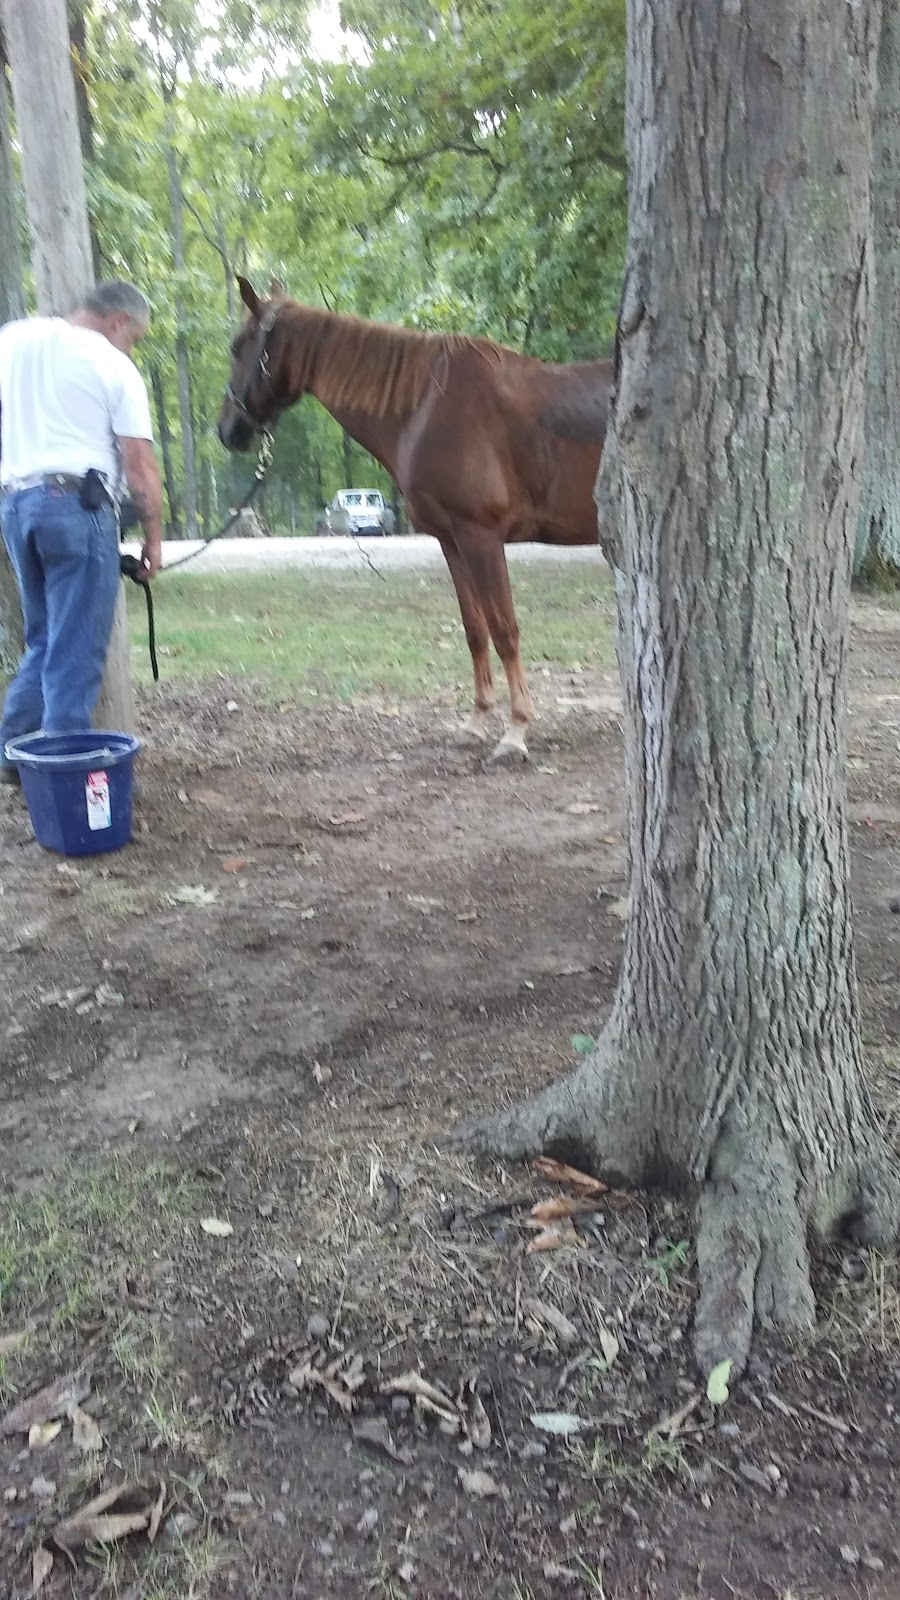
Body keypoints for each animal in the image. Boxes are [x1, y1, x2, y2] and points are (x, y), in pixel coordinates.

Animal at [217, 277, 612, 763]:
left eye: (237, 346)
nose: (227, 430)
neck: (425, 406)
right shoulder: (452, 541)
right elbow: (475, 630)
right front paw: (475, 721)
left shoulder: (481, 537)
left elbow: (504, 630)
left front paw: (515, 731)